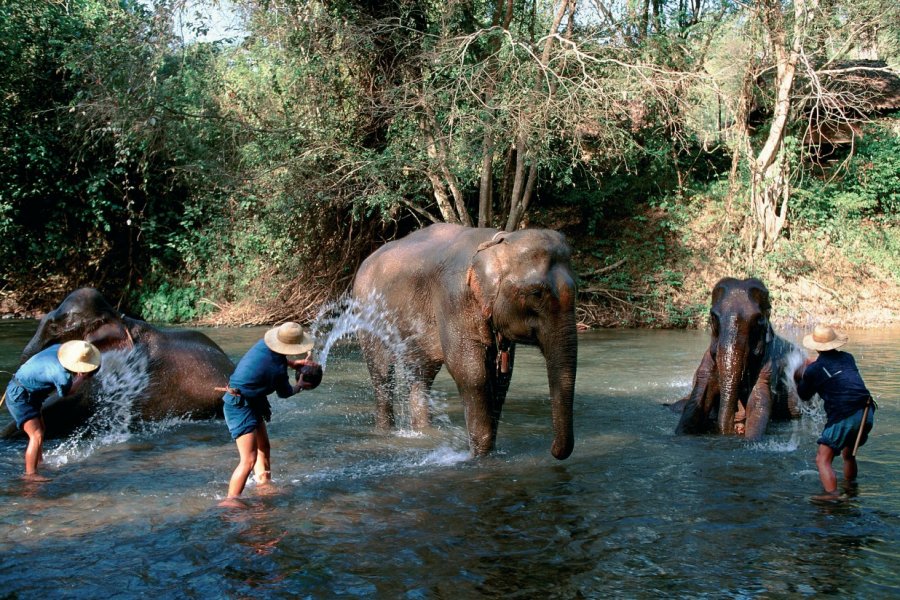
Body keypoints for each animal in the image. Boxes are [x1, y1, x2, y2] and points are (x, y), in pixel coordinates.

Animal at [352, 223, 576, 458]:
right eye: (536, 293)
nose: (552, 449)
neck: (494, 243)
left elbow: (501, 377)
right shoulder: (453, 299)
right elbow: (470, 372)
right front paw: (480, 456)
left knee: (421, 374)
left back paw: (422, 433)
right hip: (367, 312)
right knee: (381, 372)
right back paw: (386, 433)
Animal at [672, 278, 804, 440]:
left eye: (758, 319)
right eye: (713, 316)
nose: (731, 428)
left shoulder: (769, 363)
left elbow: (758, 399)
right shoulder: (708, 360)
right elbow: (700, 393)